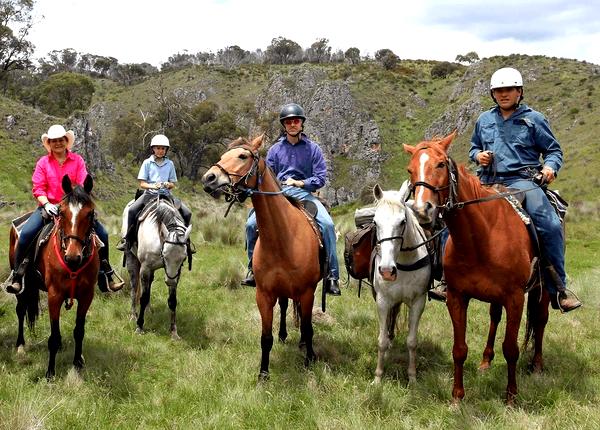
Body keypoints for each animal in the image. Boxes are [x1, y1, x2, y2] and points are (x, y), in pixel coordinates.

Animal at [8, 175, 99, 380]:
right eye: (61, 213)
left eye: (90, 214)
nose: (73, 257)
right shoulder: (54, 295)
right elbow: (54, 336)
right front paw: (50, 373)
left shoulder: (87, 295)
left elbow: (79, 331)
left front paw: (77, 364)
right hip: (21, 285)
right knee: (20, 310)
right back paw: (20, 346)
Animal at [120, 197, 190, 340]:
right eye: (165, 254)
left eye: (184, 258)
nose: (170, 281)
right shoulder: (145, 268)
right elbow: (143, 297)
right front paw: (139, 326)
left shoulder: (176, 272)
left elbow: (172, 301)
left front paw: (174, 332)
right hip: (132, 259)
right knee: (134, 287)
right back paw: (133, 315)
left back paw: (148, 310)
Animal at [200, 134, 324, 380]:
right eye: (223, 155)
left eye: (242, 156)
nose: (209, 178)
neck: (282, 239)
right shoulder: (264, 294)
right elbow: (266, 337)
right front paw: (263, 374)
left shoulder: (307, 292)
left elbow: (308, 328)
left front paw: (309, 359)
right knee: (285, 306)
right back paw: (284, 335)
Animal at [404, 133, 548, 404]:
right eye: (409, 169)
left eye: (441, 164)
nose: (422, 211)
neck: (481, 238)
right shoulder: (457, 297)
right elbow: (459, 349)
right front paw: (457, 397)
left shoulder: (515, 298)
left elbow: (511, 348)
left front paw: (511, 396)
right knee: (494, 317)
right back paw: (485, 360)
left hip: (542, 289)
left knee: (541, 319)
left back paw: (537, 365)